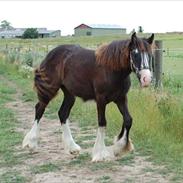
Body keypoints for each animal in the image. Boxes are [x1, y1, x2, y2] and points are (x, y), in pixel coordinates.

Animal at [22, 32, 154, 162]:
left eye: (150, 54)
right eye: (135, 53)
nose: (146, 79)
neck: (111, 69)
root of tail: (50, 53)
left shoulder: (121, 98)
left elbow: (128, 120)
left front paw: (120, 148)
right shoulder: (101, 100)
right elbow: (102, 123)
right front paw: (100, 154)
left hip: (69, 94)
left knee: (62, 113)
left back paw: (72, 148)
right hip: (49, 88)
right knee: (40, 109)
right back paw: (31, 144)